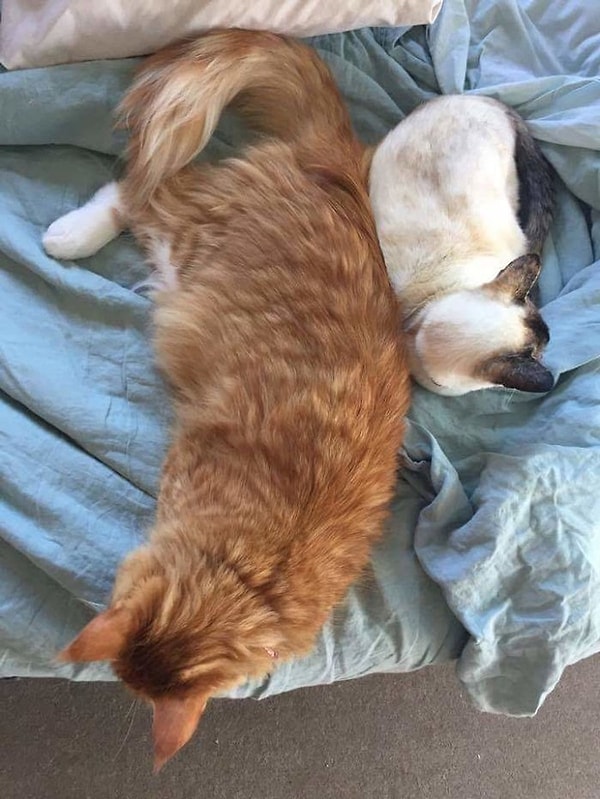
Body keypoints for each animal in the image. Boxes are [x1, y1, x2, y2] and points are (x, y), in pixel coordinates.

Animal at [44, 29, 410, 768]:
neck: (251, 568)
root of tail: (334, 158)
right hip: (186, 240)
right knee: (138, 188)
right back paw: (67, 236)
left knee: (140, 190)